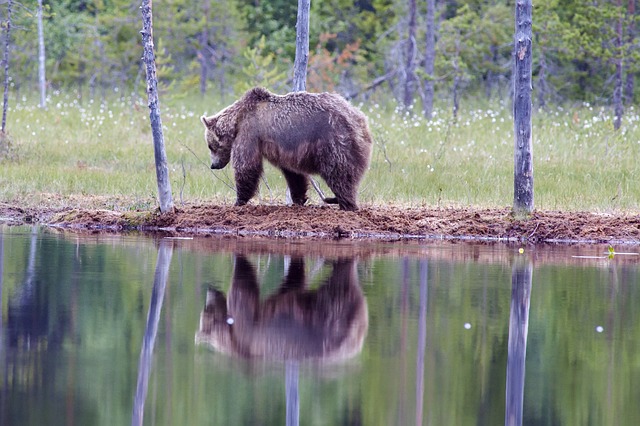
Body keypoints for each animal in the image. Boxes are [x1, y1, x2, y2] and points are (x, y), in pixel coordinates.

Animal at [192, 255, 368, 362]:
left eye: (206, 312)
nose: (209, 291)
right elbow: (294, 280)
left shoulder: (245, 327)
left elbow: (243, 288)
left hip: (327, 316)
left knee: (337, 287)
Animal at [199, 87, 370, 211]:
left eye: (210, 145)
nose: (213, 165)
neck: (237, 121)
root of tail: (358, 118)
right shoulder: (286, 150)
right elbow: (293, 174)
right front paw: (298, 198)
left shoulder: (250, 133)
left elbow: (246, 166)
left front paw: (239, 200)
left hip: (333, 140)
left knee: (339, 172)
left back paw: (346, 203)